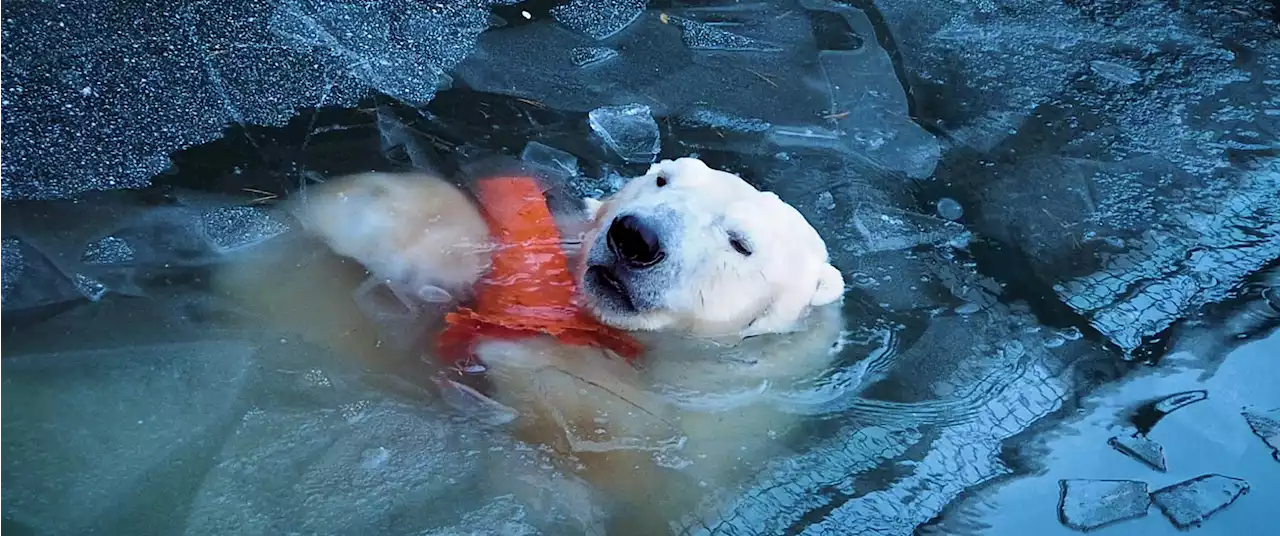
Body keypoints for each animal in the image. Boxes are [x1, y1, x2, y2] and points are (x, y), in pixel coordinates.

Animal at [211, 158, 849, 532]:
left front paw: (530, 346)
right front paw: (414, 232)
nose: (636, 237)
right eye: (662, 179)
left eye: (740, 243)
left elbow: (629, 460)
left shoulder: (733, 420)